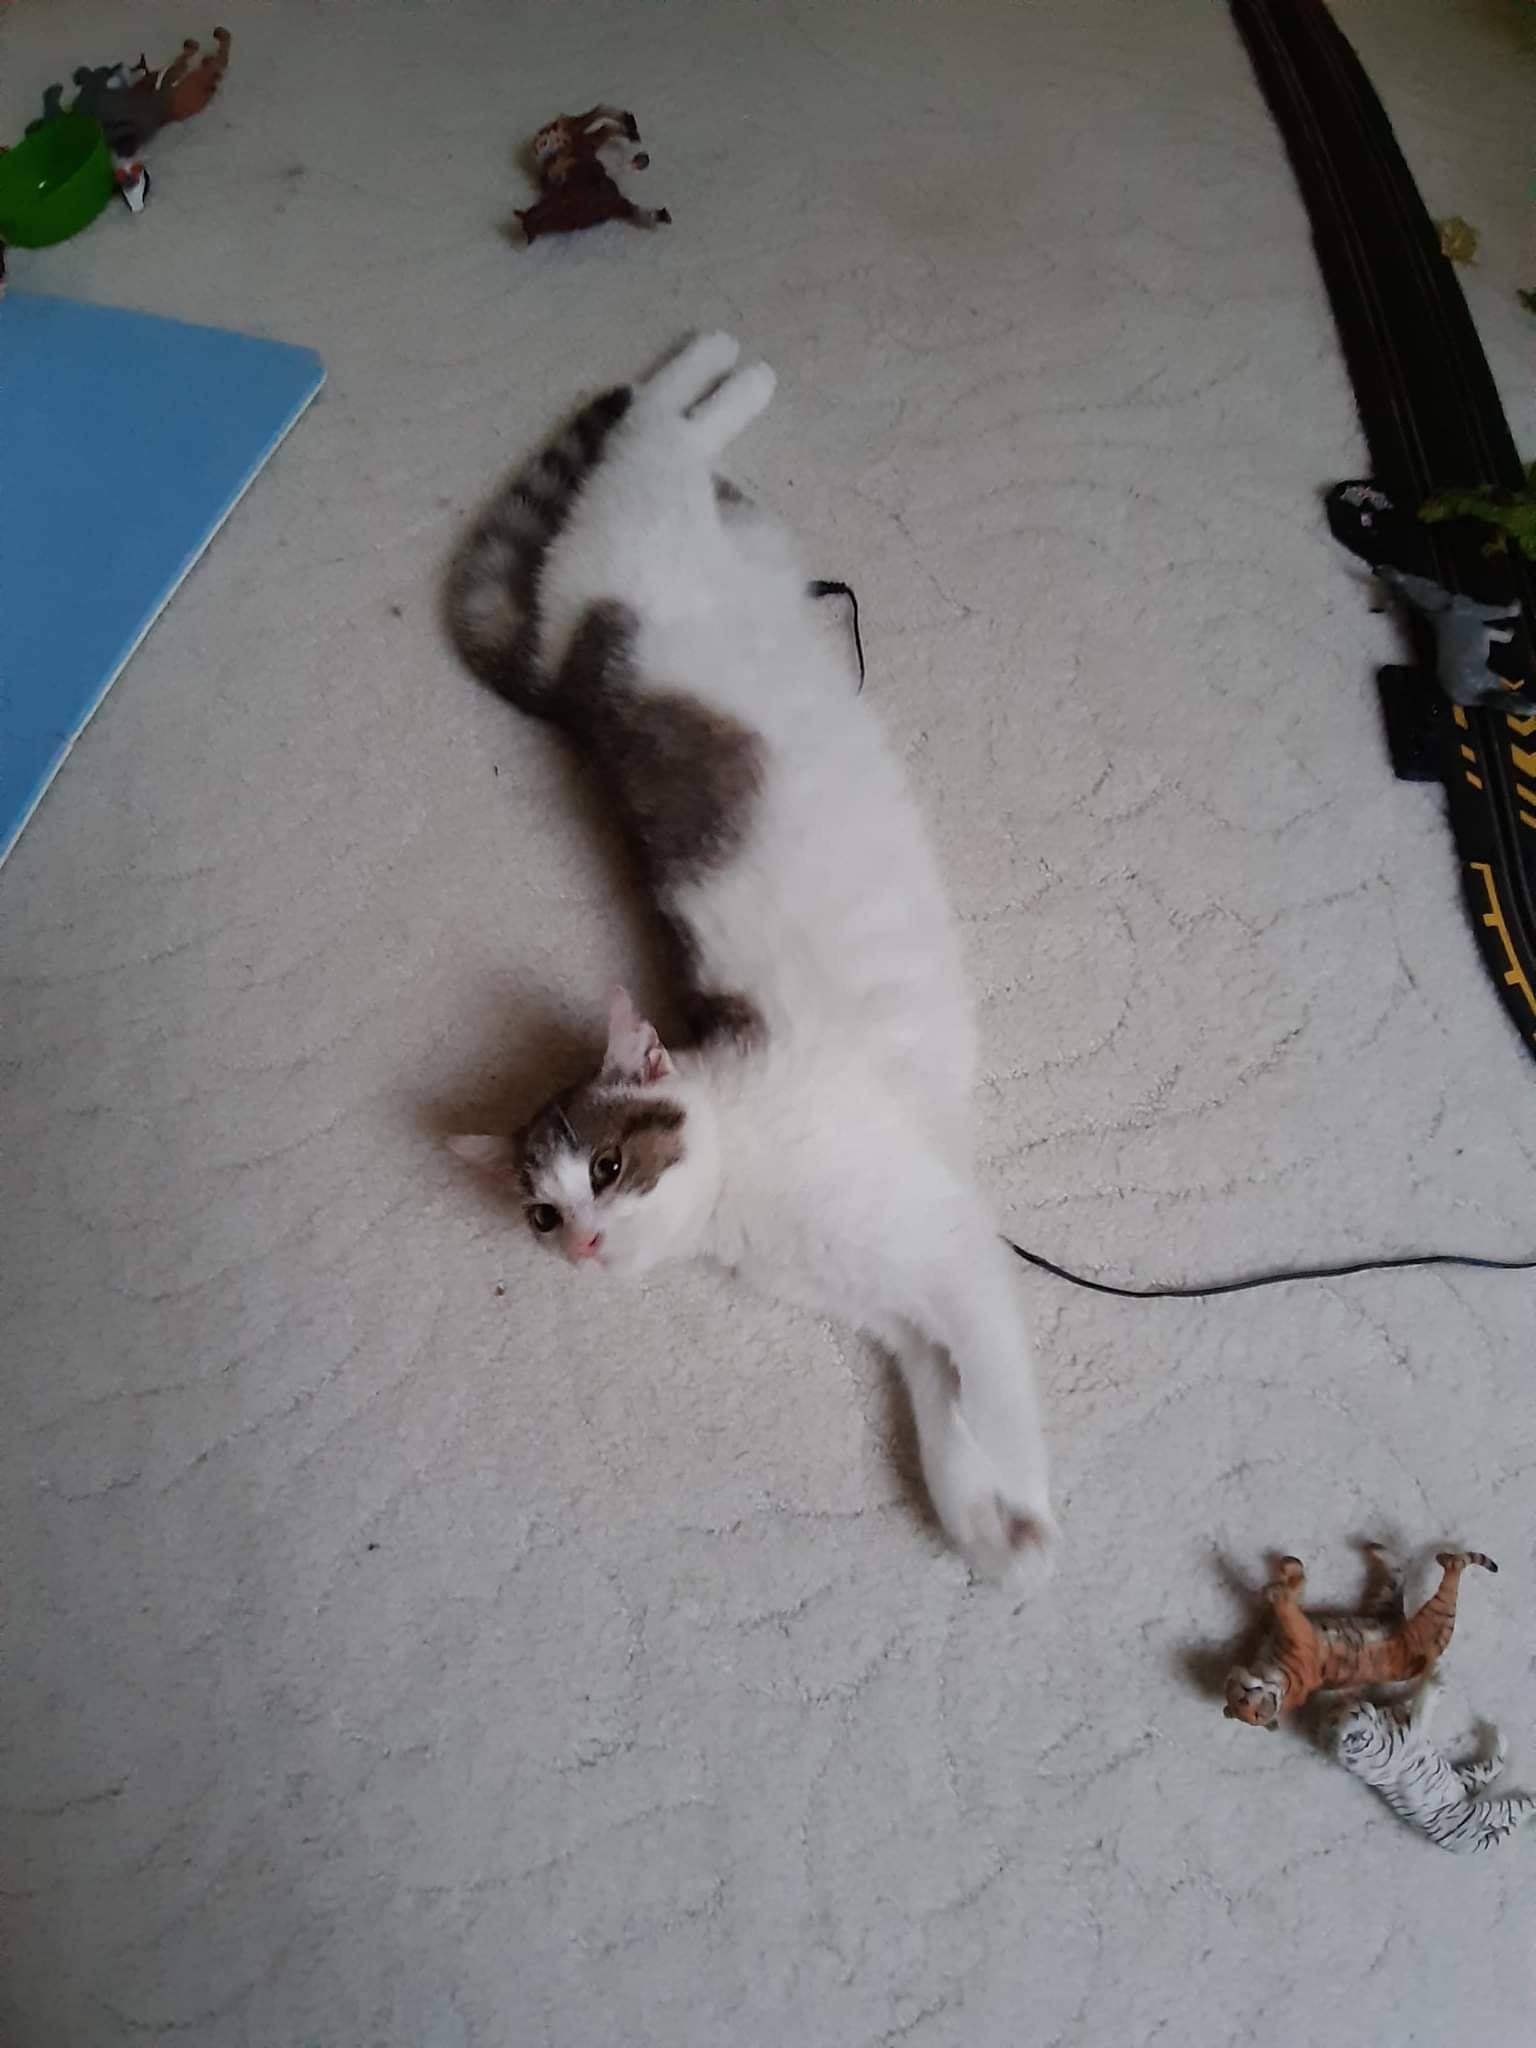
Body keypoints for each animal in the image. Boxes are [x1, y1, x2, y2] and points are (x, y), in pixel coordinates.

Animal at [444, 333, 1056, 1588]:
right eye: (538, 1216)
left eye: (609, 1169)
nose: (585, 1245)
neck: (742, 1204)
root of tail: (571, 659)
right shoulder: (898, 1294)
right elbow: (941, 1400)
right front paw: (980, 1512)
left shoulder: (949, 1246)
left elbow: (987, 1373)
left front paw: (1023, 1509)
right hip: (680, 532)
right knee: (670, 433)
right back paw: (719, 372)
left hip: (638, 517)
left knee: (653, 428)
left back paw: (719, 360)